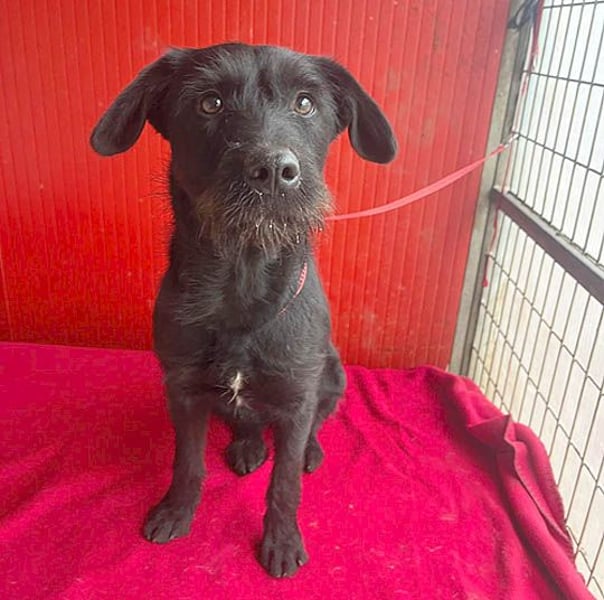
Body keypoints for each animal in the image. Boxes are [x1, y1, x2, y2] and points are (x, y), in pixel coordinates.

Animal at [90, 42, 396, 578]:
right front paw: (176, 511)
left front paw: (282, 540)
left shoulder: (296, 395)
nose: (274, 170)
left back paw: (307, 449)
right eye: (209, 103)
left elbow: (286, 481)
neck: (241, 284)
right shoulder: (184, 390)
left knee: (314, 424)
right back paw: (248, 445)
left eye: (305, 103)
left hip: (332, 373)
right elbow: (188, 462)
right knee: (246, 422)